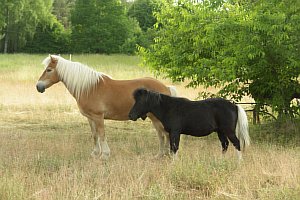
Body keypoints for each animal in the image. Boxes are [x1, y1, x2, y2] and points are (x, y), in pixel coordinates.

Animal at [35, 55, 176, 159]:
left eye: (49, 69)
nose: (38, 87)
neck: (89, 88)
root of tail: (166, 87)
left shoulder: (98, 117)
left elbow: (102, 134)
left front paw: (105, 155)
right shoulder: (90, 118)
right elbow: (95, 135)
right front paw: (95, 153)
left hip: (156, 118)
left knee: (165, 134)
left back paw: (168, 155)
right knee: (161, 135)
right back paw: (160, 155)